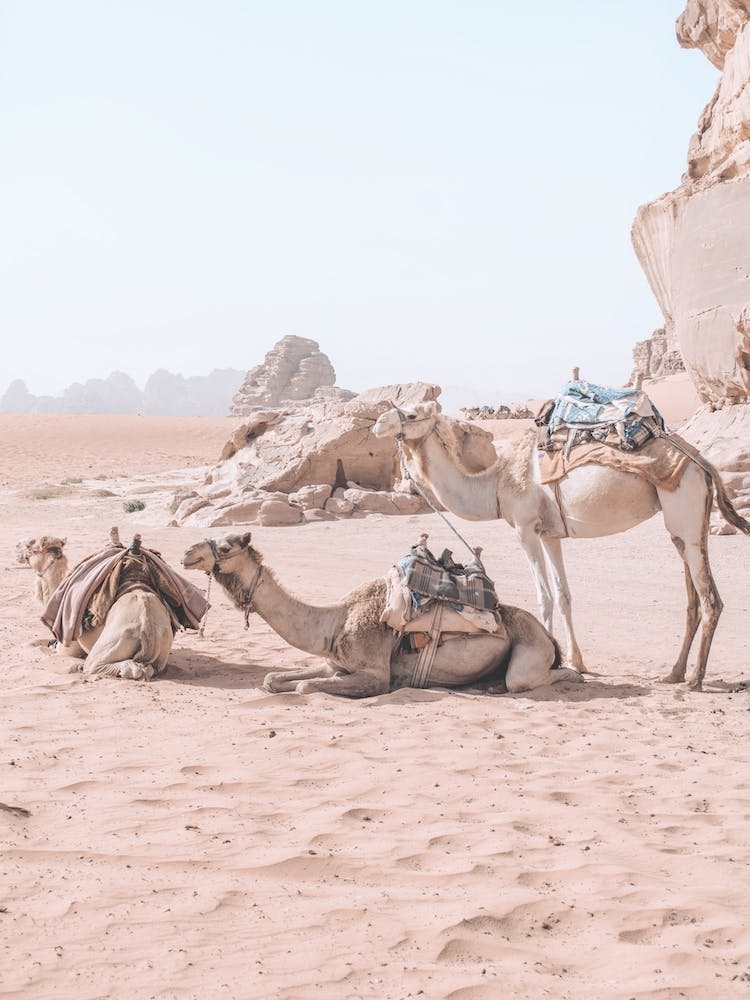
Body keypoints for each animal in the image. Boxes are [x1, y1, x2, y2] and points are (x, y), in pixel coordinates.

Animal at [181, 532, 583, 696]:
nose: (187, 552)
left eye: (227, 547)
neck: (334, 621)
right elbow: (273, 679)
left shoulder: (374, 674)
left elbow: (305, 687)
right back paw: (488, 684)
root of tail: (548, 636)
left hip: (530, 651)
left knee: (535, 677)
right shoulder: (334, 663)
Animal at [372, 401, 750, 691]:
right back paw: (673, 673)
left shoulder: (525, 528)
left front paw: (551, 657)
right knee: (692, 598)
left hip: (684, 508)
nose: (378, 422)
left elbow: (544, 597)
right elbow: (563, 595)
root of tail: (703, 462)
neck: (495, 483)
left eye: (413, 413)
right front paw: (576, 661)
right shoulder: (550, 534)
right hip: (684, 525)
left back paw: (694, 680)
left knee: (710, 600)